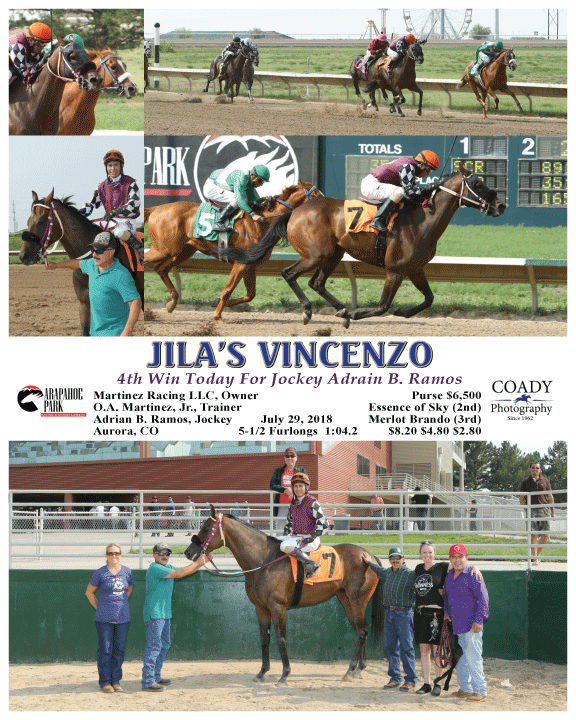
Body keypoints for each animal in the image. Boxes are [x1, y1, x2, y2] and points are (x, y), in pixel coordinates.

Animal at [144, 182, 320, 322]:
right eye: (316, 194)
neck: (261, 222)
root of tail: (155, 209)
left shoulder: (250, 264)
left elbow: (250, 294)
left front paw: (216, 303)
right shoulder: (241, 262)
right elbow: (228, 289)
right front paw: (217, 316)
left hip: (183, 251)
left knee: (161, 268)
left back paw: (172, 303)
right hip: (164, 249)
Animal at [184, 507, 384, 684]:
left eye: (206, 528)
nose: (188, 552)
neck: (265, 560)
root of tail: (369, 555)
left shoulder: (278, 606)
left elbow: (281, 640)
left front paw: (284, 675)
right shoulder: (261, 608)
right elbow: (265, 640)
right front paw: (262, 672)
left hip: (357, 600)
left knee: (362, 632)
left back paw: (350, 670)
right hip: (346, 600)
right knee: (361, 630)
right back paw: (359, 668)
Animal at [219, 168, 506, 326]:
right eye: (478, 184)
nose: (501, 205)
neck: (423, 219)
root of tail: (296, 211)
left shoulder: (415, 269)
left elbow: (428, 298)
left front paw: (403, 311)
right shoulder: (395, 270)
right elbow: (382, 306)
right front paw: (362, 314)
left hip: (333, 254)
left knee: (317, 283)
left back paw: (342, 310)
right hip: (315, 254)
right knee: (289, 274)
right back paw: (310, 311)